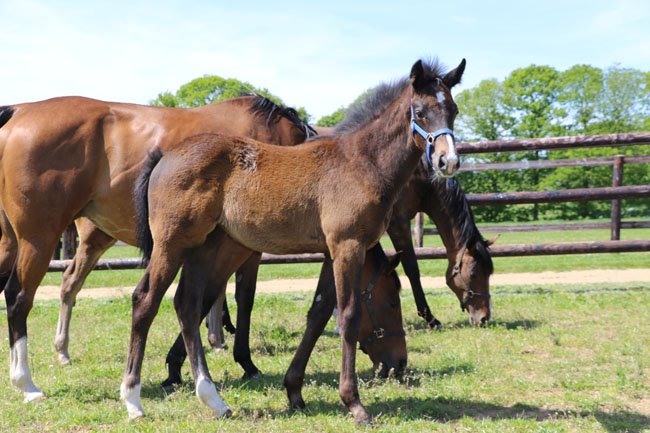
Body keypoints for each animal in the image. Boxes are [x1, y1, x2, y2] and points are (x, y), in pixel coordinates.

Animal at [0, 93, 317, 401]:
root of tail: (19, 111)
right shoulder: (241, 249)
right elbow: (236, 298)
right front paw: (241, 361)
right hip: (40, 239)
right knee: (19, 297)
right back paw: (26, 382)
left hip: (26, 241)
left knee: (58, 284)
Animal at [128, 58, 465, 424]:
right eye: (419, 112)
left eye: (454, 110)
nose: (448, 161)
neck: (362, 163)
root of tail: (165, 155)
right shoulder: (348, 247)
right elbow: (348, 316)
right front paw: (354, 403)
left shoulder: (332, 252)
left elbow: (318, 314)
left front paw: (294, 391)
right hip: (173, 244)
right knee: (145, 301)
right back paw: (133, 400)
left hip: (205, 246)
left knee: (187, 305)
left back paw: (213, 399)